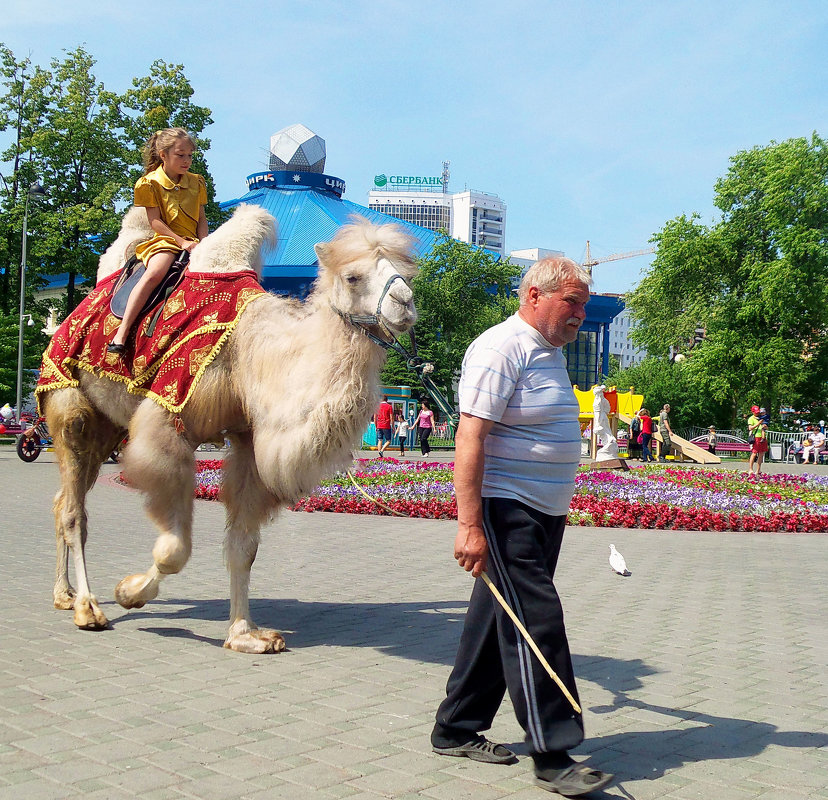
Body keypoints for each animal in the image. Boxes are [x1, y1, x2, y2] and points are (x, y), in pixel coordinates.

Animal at [42, 203, 418, 652]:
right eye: (353, 277)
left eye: (405, 271)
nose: (405, 303)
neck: (250, 357)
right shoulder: (168, 416)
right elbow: (175, 549)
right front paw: (129, 593)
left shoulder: (249, 441)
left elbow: (244, 546)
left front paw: (245, 635)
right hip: (70, 404)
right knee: (73, 511)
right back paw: (87, 608)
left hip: (108, 428)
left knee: (63, 500)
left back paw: (64, 595)